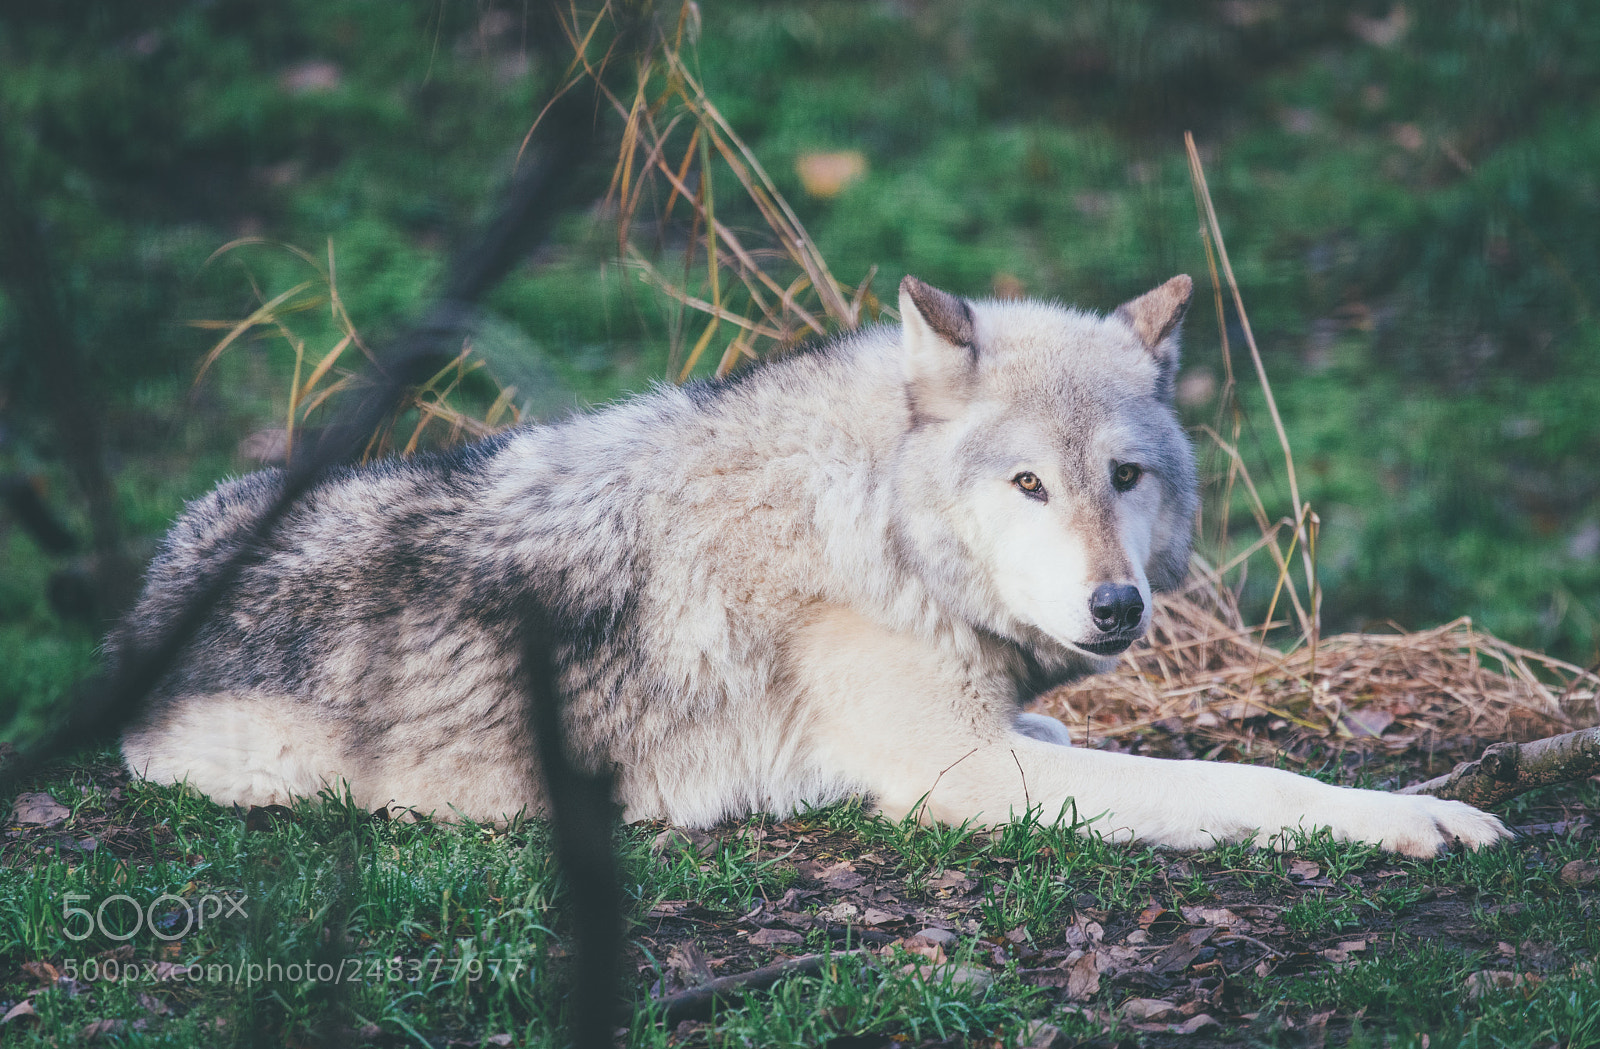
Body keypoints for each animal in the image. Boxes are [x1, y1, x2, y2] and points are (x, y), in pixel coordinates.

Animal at [116, 275, 1507, 857]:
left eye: (1124, 476)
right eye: (1027, 485)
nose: (1117, 605)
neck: (879, 526)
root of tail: (148, 605)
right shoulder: (965, 778)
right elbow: (1245, 781)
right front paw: (1419, 816)